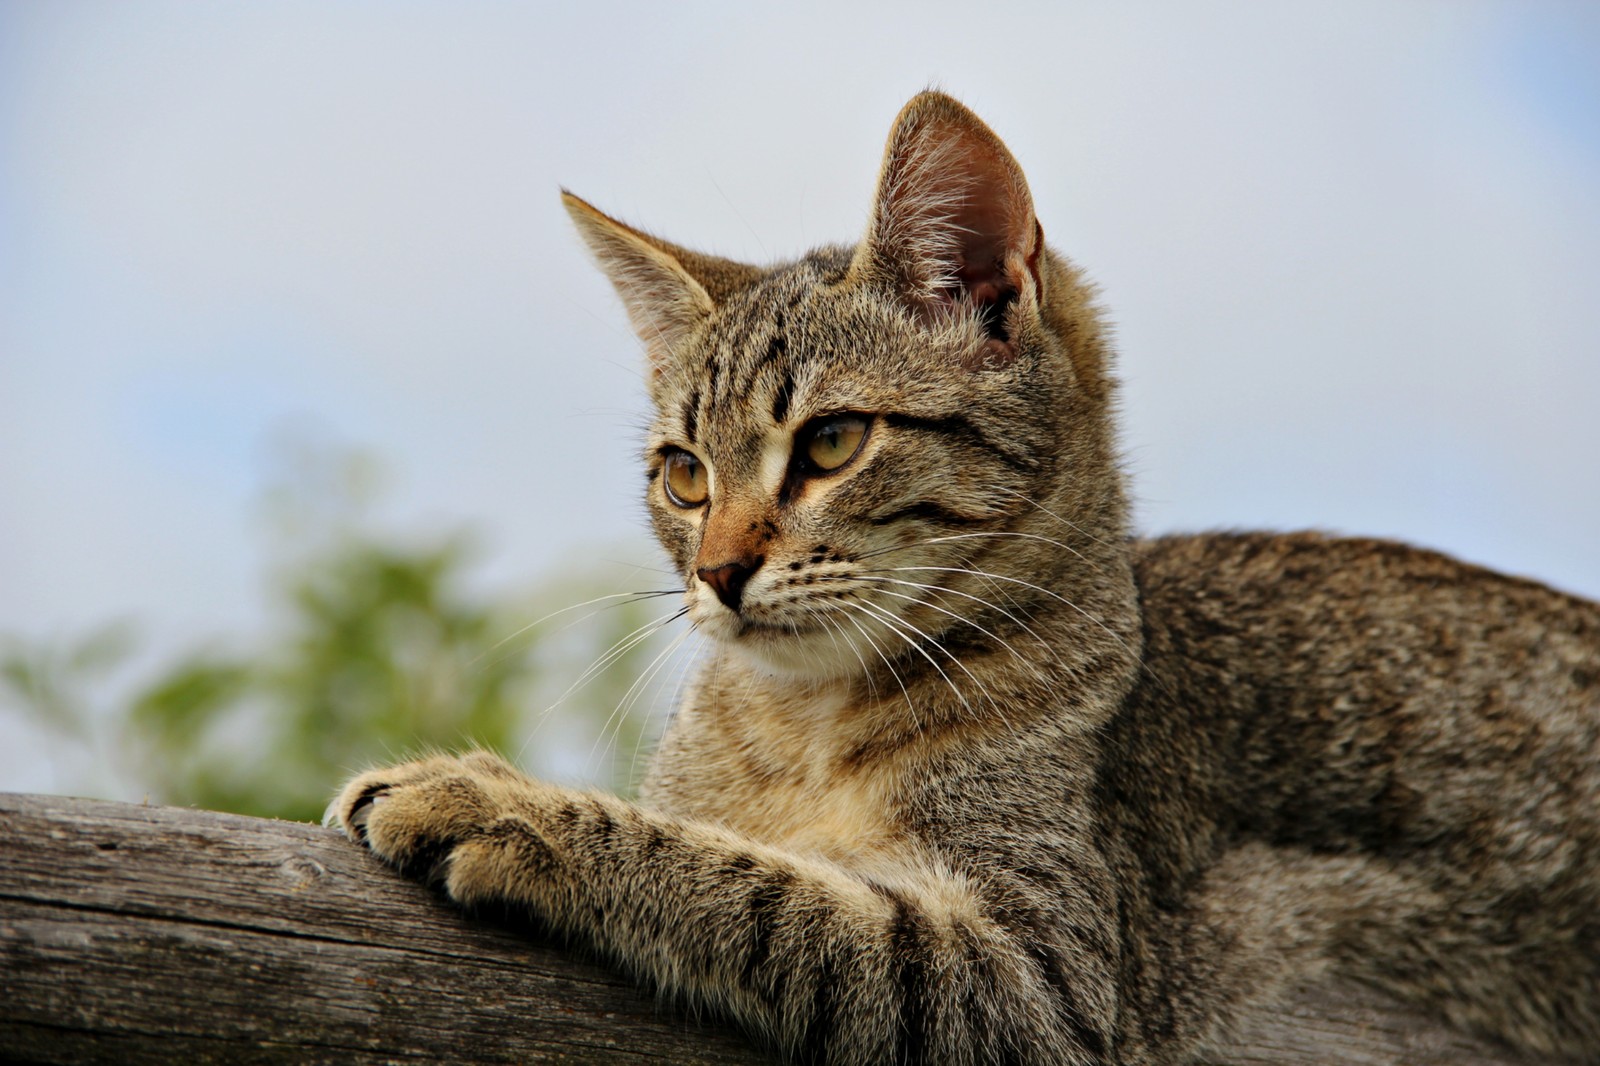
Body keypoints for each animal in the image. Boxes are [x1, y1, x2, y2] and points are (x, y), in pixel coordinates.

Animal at [328, 93, 1600, 1062]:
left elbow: (763, 891)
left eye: (831, 442)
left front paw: (501, 803)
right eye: (685, 474)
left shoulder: (1049, 979)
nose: (719, 569)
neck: (800, 728)